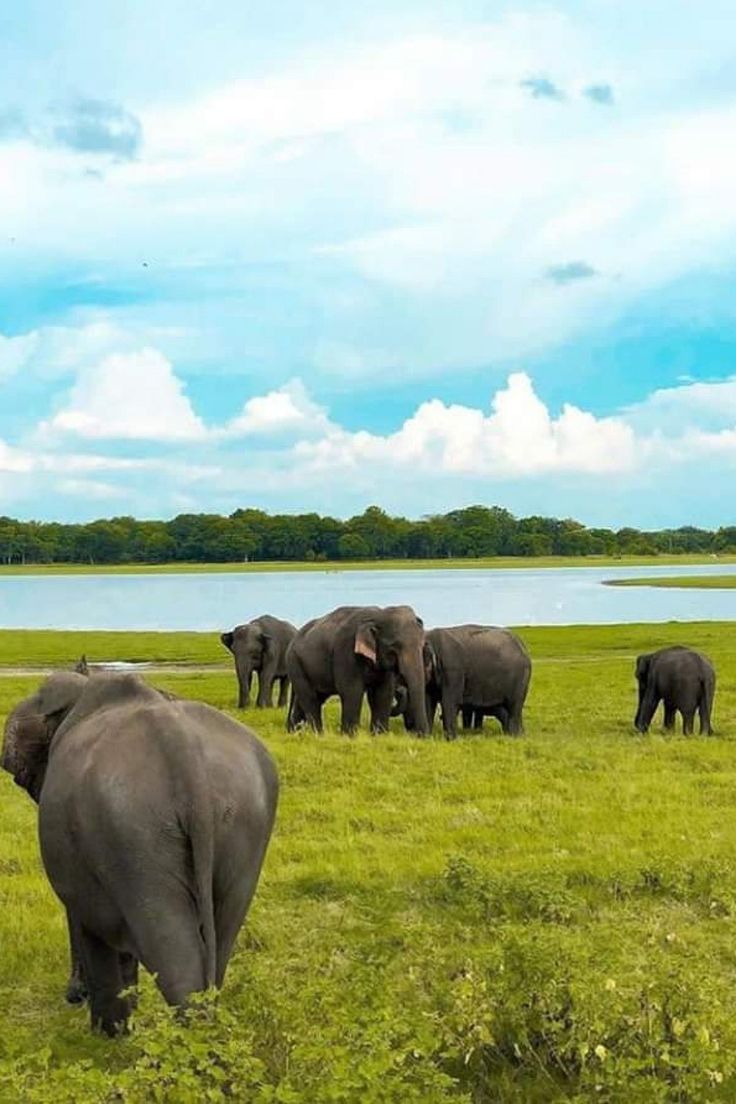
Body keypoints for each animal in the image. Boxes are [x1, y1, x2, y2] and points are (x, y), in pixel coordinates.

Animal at [1, 670, 278, 1036]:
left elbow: (86, 920)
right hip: (245, 824)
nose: (73, 996)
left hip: (131, 833)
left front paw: (102, 1027)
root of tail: (183, 754)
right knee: (220, 938)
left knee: (170, 950)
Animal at [286, 605, 429, 735]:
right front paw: (350, 736)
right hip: (295, 663)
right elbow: (352, 690)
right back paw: (318, 734)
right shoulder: (346, 650)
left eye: (422, 645)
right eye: (393, 648)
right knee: (310, 698)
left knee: (312, 698)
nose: (419, 735)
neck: (378, 615)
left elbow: (383, 692)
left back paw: (296, 733)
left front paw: (379, 735)